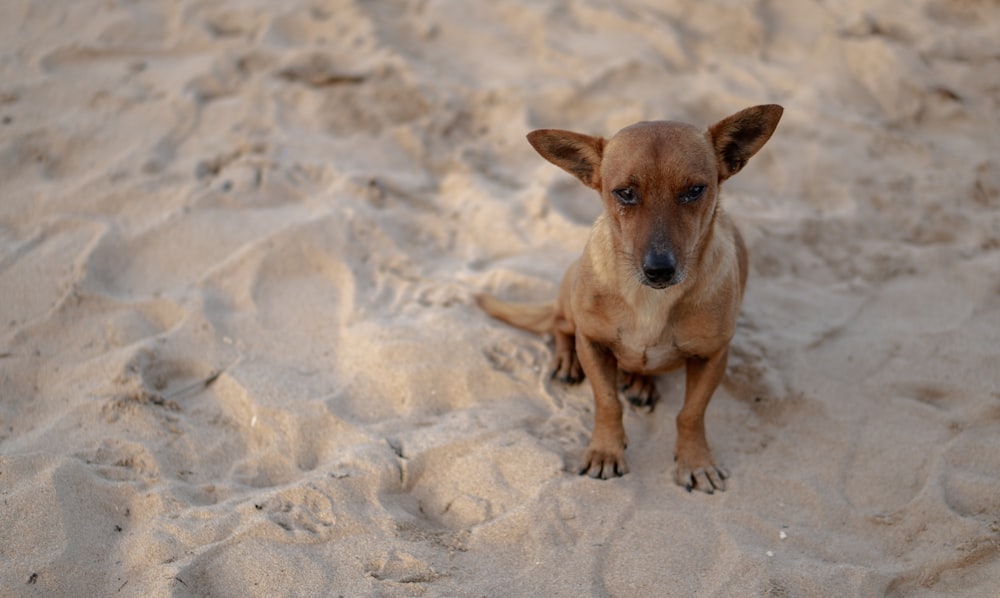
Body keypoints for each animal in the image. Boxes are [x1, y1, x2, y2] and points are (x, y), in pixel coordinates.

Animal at [476, 104, 780, 496]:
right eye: (624, 193)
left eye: (695, 190)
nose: (659, 270)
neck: (650, 298)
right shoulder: (592, 343)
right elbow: (606, 402)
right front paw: (606, 451)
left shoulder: (713, 357)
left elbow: (691, 413)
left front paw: (695, 460)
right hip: (570, 299)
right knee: (559, 325)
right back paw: (567, 361)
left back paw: (640, 381)